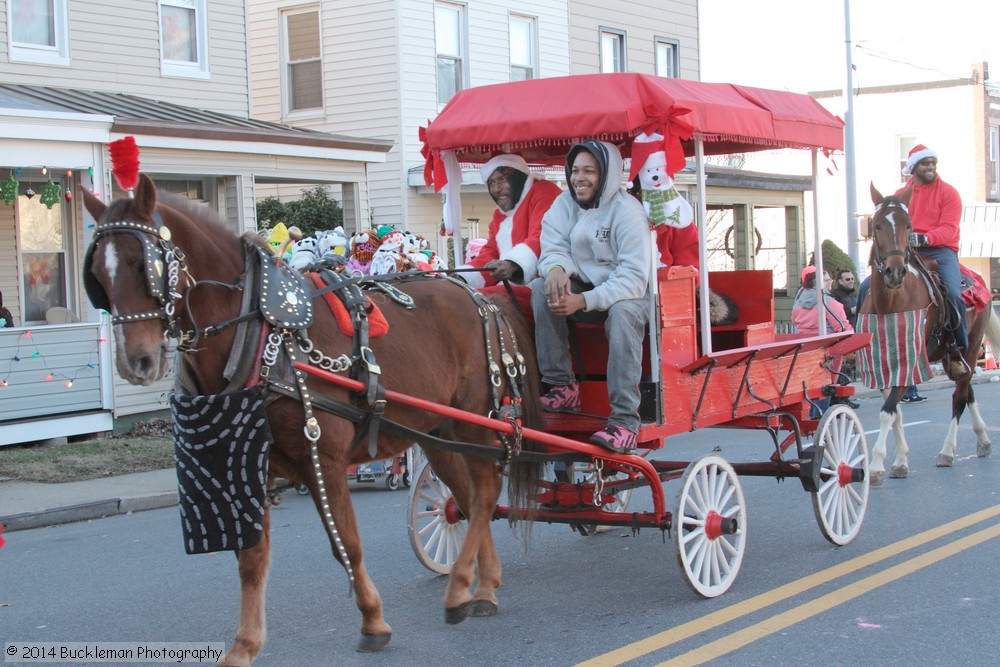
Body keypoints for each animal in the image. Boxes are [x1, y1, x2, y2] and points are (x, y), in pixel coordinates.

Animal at [82, 175, 544, 664]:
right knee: (470, 500)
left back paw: (459, 589)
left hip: (475, 421)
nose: (136, 362)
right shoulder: (254, 466)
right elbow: (251, 559)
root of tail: (483, 298)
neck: (262, 336)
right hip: (440, 434)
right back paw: (483, 586)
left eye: (143, 264)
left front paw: (373, 620)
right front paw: (245, 644)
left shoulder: (323, 458)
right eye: (99, 275)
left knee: (486, 494)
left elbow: (348, 545)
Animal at [860, 183, 1000, 486]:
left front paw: (876, 465)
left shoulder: (910, 360)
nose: (895, 272)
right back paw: (983, 439)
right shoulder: (882, 363)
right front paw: (900, 461)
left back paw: (947, 451)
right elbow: (896, 411)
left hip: (971, 347)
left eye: (909, 225)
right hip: (951, 358)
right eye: (877, 225)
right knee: (967, 391)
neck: (889, 304)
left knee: (959, 397)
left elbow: (888, 411)